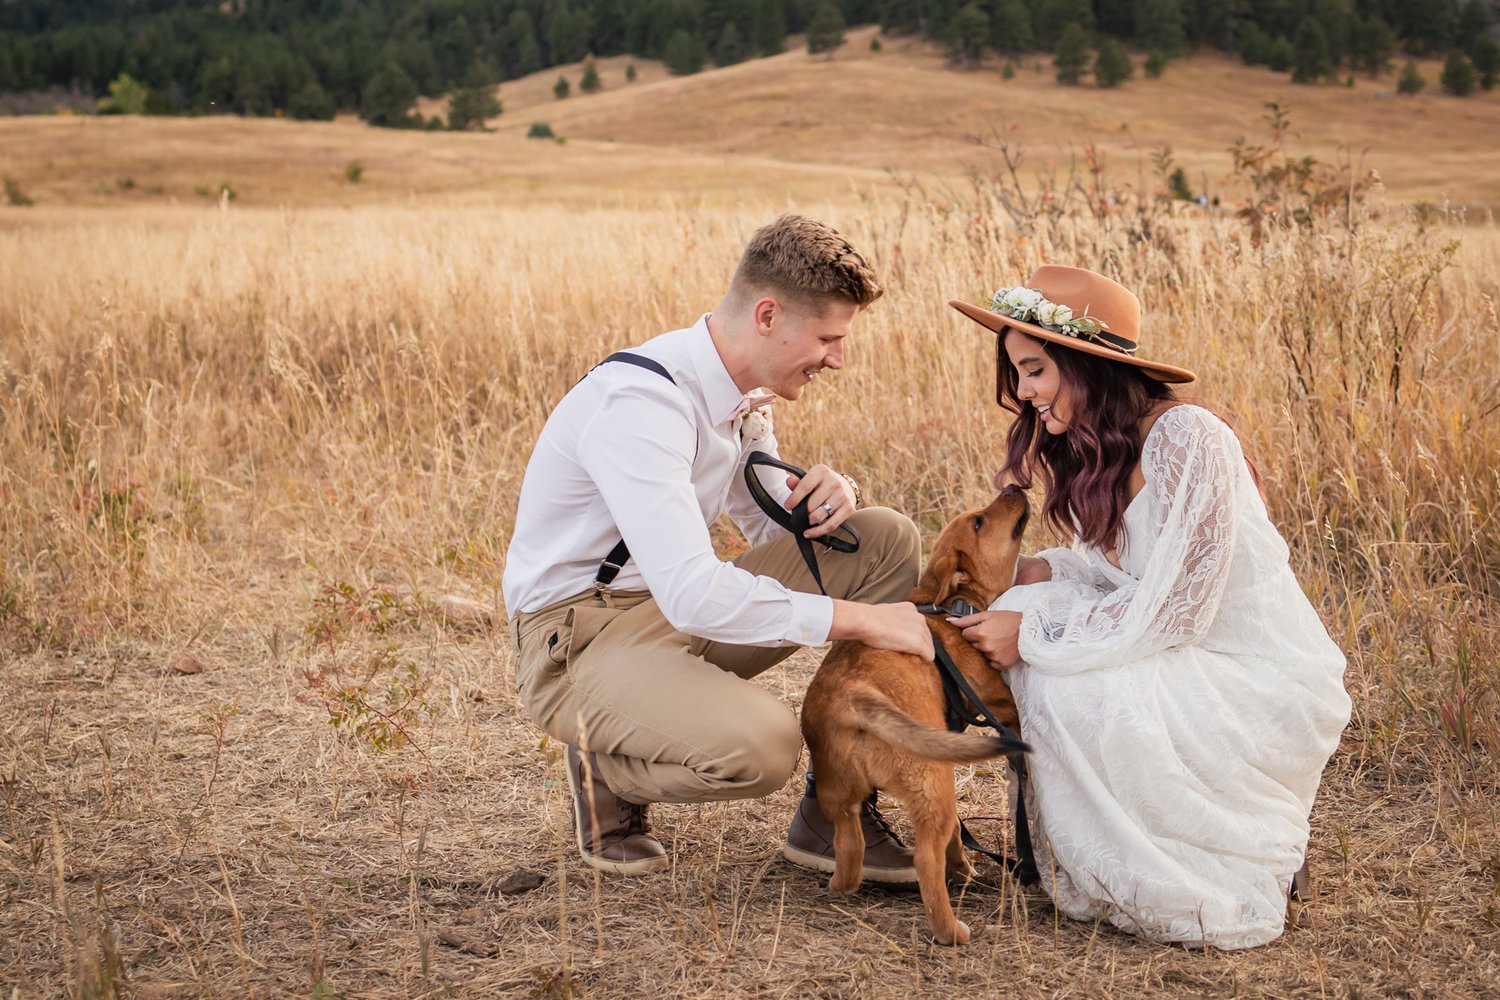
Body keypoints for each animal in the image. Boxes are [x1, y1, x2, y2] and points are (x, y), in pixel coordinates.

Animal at [798, 491, 1032, 947]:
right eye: (979, 522)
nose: (1015, 485)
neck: (953, 606)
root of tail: (854, 697)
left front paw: (963, 868)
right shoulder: (999, 702)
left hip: (840, 797)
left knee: (850, 846)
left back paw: (843, 884)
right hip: (933, 786)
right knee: (926, 856)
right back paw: (951, 930)